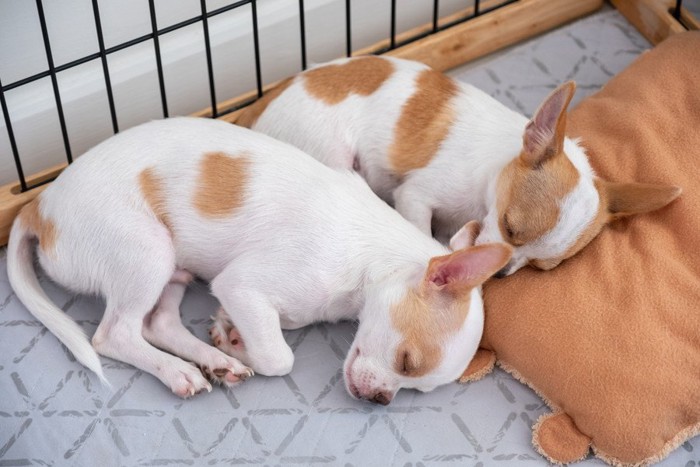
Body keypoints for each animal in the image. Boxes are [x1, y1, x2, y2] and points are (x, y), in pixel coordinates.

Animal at [6, 116, 516, 402]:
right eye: (407, 362)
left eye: (412, 388)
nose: (380, 400)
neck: (367, 259)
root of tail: (39, 206)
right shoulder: (241, 286)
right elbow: (279, 357)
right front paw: (240, 342)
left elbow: (276, 329)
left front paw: (229, 337)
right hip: (148, 251)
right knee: (114, 335)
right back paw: (179, 371)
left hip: (174, 267)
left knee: (158, 323)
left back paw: (214, 361)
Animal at [234, 57, 680, 278]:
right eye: (510, 228)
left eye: (540, 267)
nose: (501, 274)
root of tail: (256, 109)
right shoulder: (414, 197)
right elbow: (421, 230)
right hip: (331, 155)